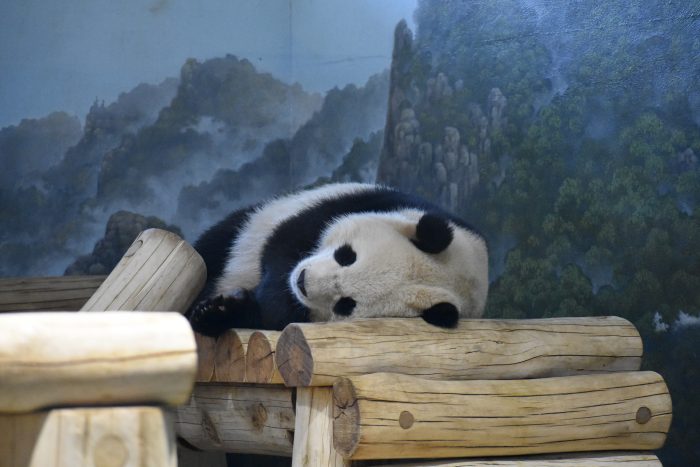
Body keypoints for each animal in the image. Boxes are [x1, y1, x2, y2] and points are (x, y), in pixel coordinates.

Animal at [189, 183, 490, 336]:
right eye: (347, 255)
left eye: (347, 304)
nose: (302, 281)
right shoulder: (363, 203)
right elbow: (285, 242)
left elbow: (273, 316)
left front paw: (229, 308)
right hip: (247, 229)